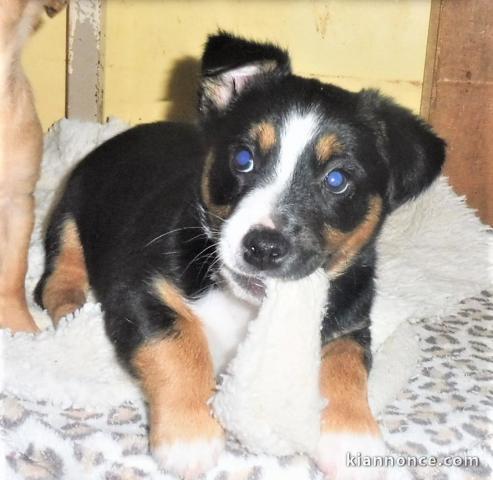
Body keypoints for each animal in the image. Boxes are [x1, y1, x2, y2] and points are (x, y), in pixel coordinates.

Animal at [33, 33, 442, 480]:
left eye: (337, 180)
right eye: (243, 158)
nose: (262, 247)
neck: (246, 307)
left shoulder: (350, 323)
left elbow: (346, 366)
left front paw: (354, 439)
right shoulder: (139, 291)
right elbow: (179, 347)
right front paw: (189, 435)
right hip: (71, 209)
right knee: (56, 277)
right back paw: (71, 310)